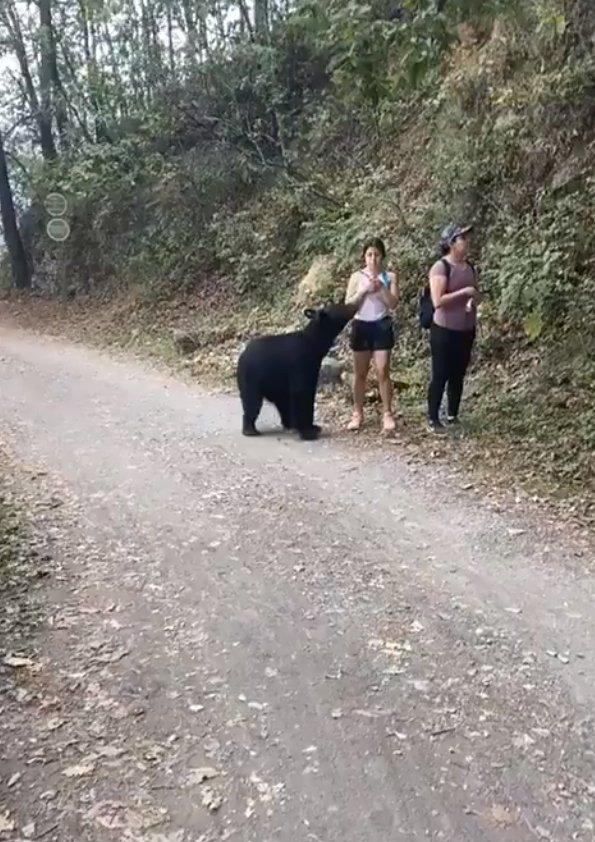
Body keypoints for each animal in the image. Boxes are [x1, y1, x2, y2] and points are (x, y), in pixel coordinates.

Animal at [236, 302, 358, 440]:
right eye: (341, 307)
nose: (354, 305)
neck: (314, 343)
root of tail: (242, 354)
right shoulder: (301, 363)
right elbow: (302, 392)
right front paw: (309, 431)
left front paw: (314, 427)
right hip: (252, 376)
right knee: (252, 400)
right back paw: (250, 429)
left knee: (282, 402)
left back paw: (289, 424)